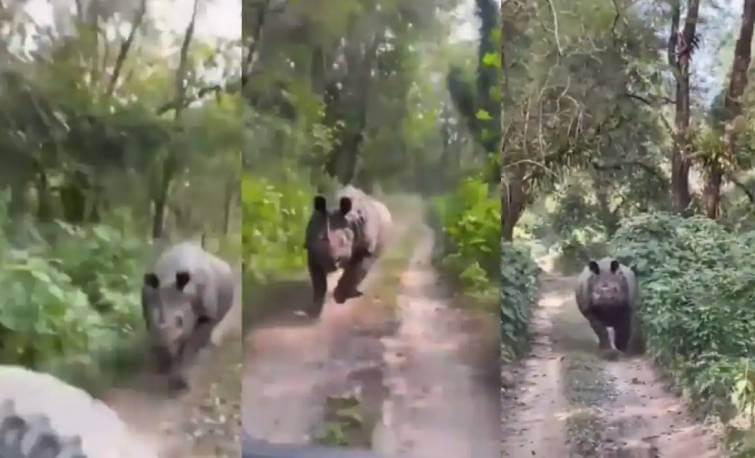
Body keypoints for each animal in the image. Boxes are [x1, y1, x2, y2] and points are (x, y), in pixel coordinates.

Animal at [140, 242, 235, 388]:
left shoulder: (206, 315)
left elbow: (191, 344)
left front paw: (181, 380)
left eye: (180, 320)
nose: (164, 340)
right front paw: (163, 367)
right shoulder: (147, 307)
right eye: (153, 318)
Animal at [304, 184, 392, 316]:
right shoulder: (312, 251)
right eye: (319, 238)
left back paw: (354, 294)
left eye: (344, 241)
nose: (329, 263)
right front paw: (315, 310)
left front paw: (339, 298)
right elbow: (318, 282)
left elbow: (354, 271)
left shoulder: (365, 248)